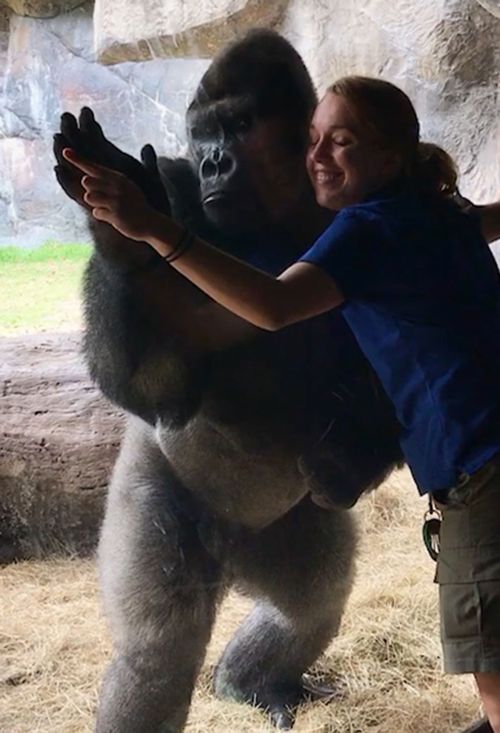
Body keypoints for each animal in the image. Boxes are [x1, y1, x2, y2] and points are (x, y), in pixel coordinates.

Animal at [52, 28, 402, 732]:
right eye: (201, 133)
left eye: (238, 126)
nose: (214, 163)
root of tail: (234, 554)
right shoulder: (179, 188)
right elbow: (154, 389)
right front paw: (122, 236)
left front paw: (349, 462)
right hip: (163, 506)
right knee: (158, 649)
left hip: (283, 535)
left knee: (312, 602)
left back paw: (250, 682)